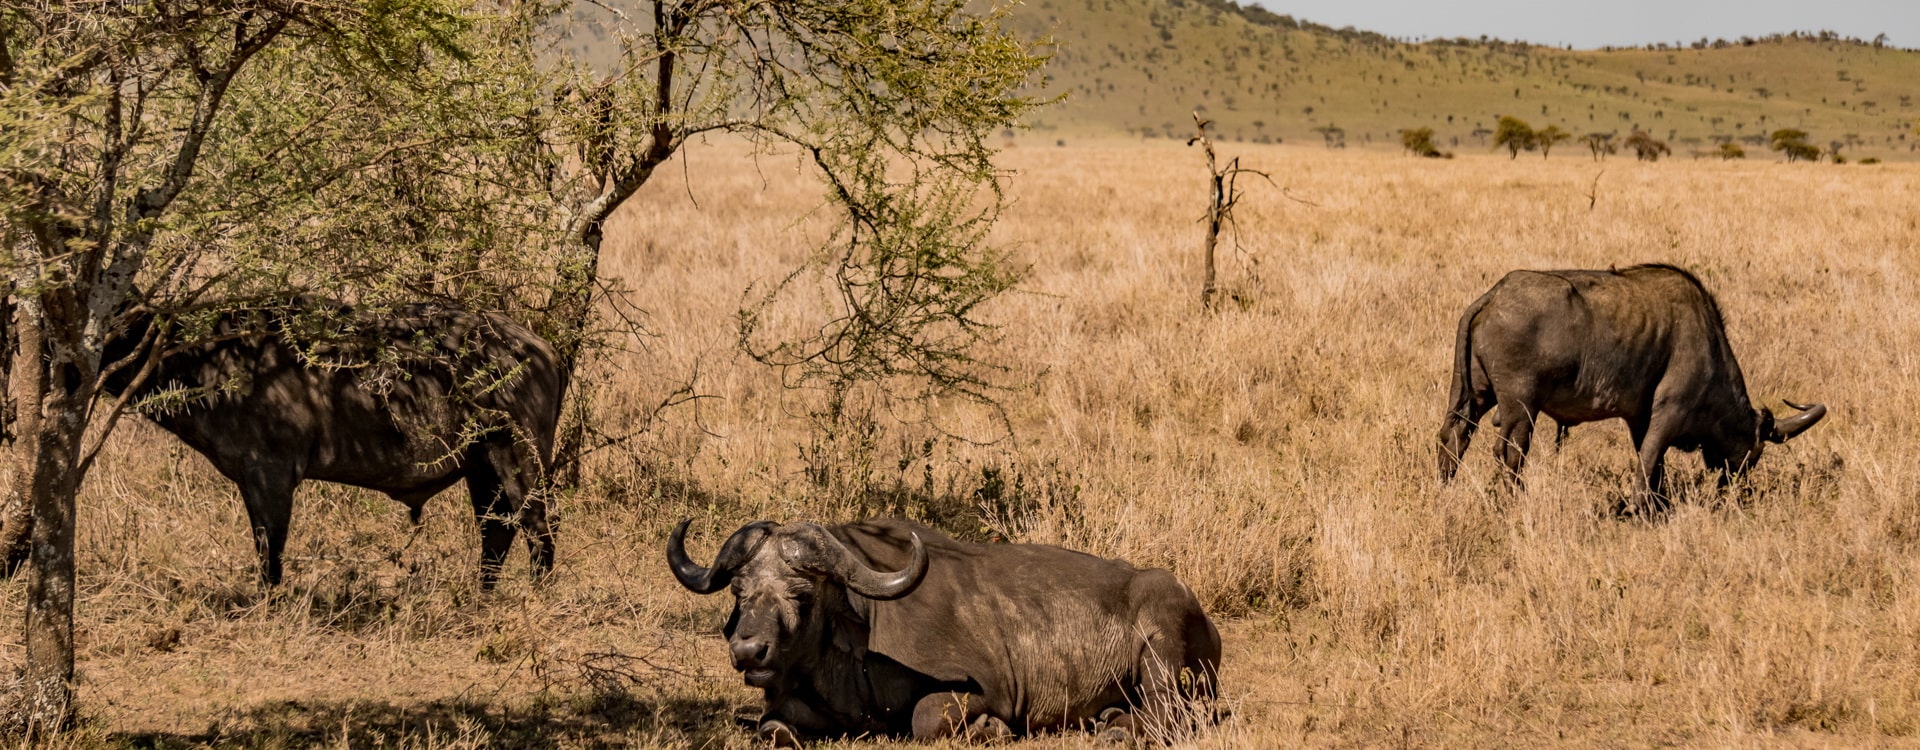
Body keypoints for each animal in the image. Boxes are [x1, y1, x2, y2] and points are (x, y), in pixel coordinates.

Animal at [668, 521, 1221, 748]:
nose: (748, 650)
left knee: (1172, 714)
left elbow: (924, 718)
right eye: (739, 591)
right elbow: (771, 728)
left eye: (801, 594)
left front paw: (989, 730)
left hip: (1161, 643)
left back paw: (1118, 729)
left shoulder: (983, 691)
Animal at [1443, 260, 1827, 514]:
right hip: (1521, 407)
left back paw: (1443, 486)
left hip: (1474, 396)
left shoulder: (1638, 418)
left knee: (1453, 437)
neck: (1710, 343)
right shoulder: (1668, 413)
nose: (1733, 489)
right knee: (1510, 452)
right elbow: (1648, 462)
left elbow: (1655, 466)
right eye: (1753, 453)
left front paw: (1660, 505)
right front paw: (1640, 510)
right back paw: (1515, 502)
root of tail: (1494, 296)